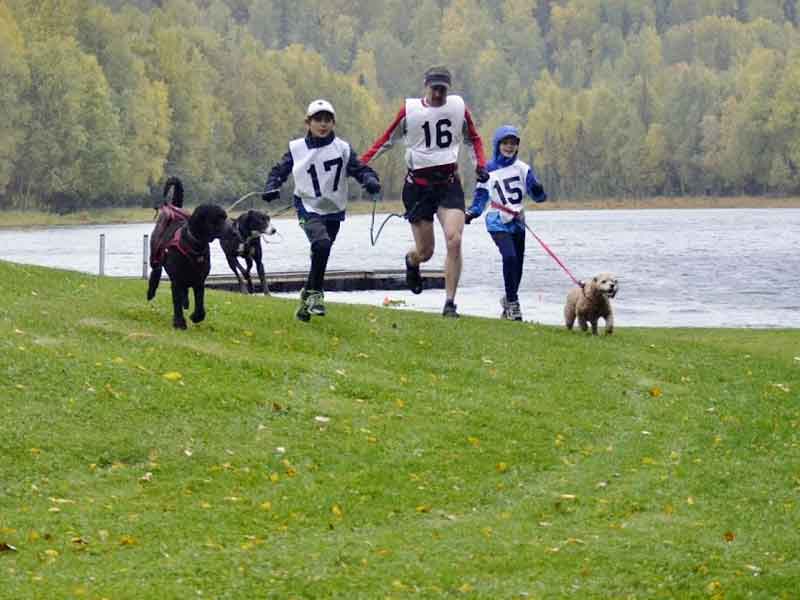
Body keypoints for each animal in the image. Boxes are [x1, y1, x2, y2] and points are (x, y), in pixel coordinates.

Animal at [147, 177, 231, 328]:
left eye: (225, 216)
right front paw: (179, 323)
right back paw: (151, 291)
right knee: (155, 270)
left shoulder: (199, 280)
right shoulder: (176, 280)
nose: (233, 230)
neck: (194, 245)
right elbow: (176, 302)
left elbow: (200, 306)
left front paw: (195, 316)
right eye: (217, 219)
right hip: (155, 252)